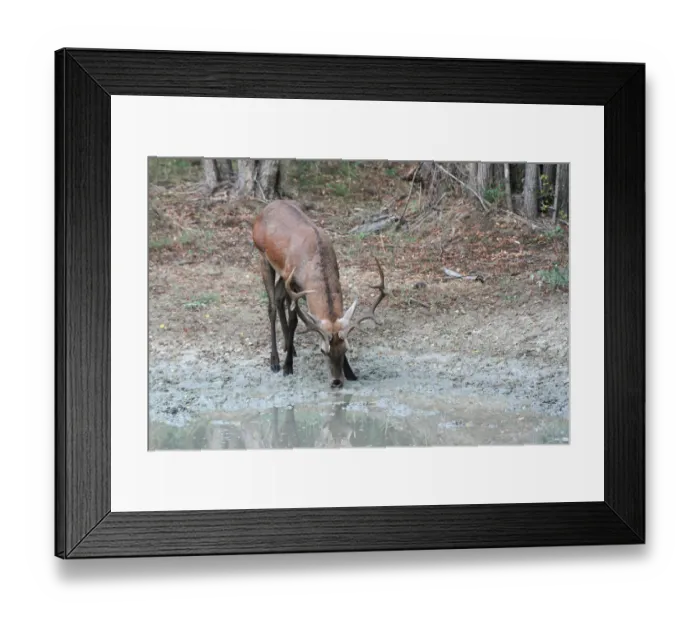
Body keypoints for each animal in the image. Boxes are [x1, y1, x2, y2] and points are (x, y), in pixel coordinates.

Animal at [252, 200, 387, 388]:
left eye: (346, 349)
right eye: (323, 350)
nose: (336, 381)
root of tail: (263, 210)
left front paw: (350, 372)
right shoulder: (293, 283)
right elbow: (294, 320)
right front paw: (287, 367)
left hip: (281, 274)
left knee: (278, 298)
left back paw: (289, 347)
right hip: (263, 257)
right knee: (271, 306)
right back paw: (275, 361)